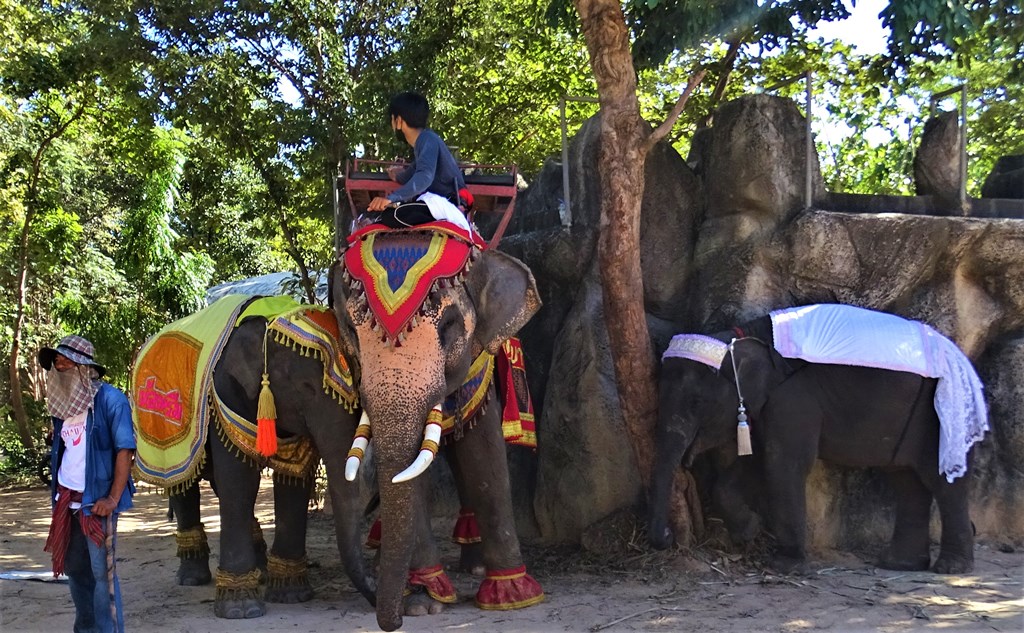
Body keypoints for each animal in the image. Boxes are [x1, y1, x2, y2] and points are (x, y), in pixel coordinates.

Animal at [651, 303, 987, 573]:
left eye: (696, 402)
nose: (667, 537)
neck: (740, 336)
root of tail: (958, 356)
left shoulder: (793, 398)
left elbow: (781, 463)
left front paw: (786, 566)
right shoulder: (770, 403)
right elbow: (756, 459)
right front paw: (748, 532)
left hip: (940, 415)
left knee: (940, 480)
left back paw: (950, 568)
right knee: (906, 480)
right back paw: (899, 565)